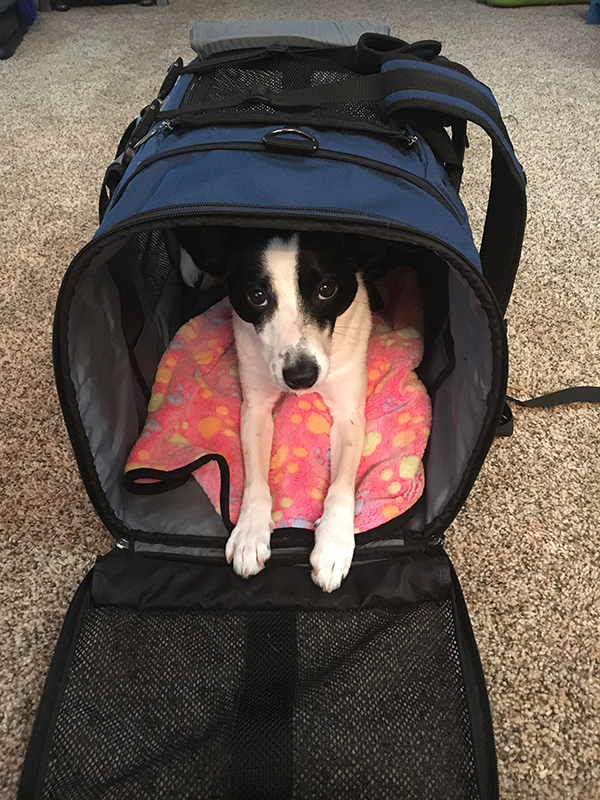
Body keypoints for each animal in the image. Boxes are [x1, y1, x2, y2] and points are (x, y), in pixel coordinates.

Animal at [176, 228, 378, 592]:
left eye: (327, 289)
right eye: (257, 296)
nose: (300, 377)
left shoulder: (349, 411)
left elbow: (342, 485)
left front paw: (334, 544)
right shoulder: (255, 406)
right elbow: (256, 481)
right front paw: (249, 533)